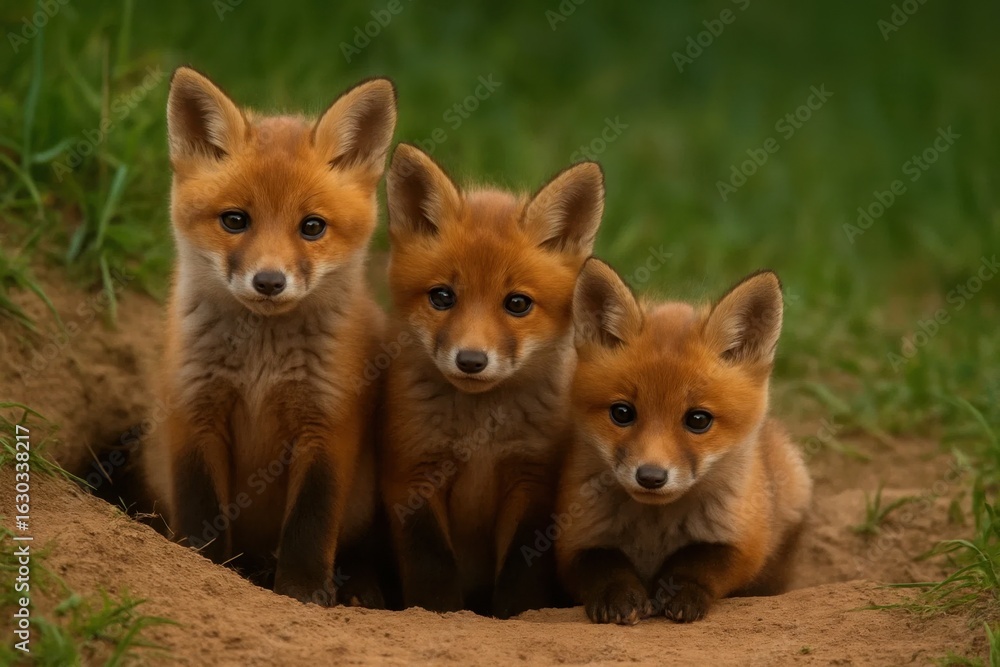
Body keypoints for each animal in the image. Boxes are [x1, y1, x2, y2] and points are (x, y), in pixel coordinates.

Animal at [141, 67, 397, 607]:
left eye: (312, 227)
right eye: (235, 220)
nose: (269, 281)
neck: (262, 366)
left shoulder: (328, 424)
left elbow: (310, 522)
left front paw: (302, 592)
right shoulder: (193, 413)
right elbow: (201, 512)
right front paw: (203, 567)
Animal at [380, 143, 605, 618]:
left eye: (517, 304)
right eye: (442, 297)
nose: (471, 360)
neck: (478, 437)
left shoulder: (531, 482)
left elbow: (522, 571)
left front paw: (515, 615)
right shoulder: (412, 475)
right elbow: (432, 568)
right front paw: (442, 613)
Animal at [555, 259, 812, 624]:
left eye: (698, 420)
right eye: (622, 413)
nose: (650, 477)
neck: (654, 528)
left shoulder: (743, 539)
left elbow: (699, 562)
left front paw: (681, 593)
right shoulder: (573, 541)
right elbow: (604, 567)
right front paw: (619, 597)